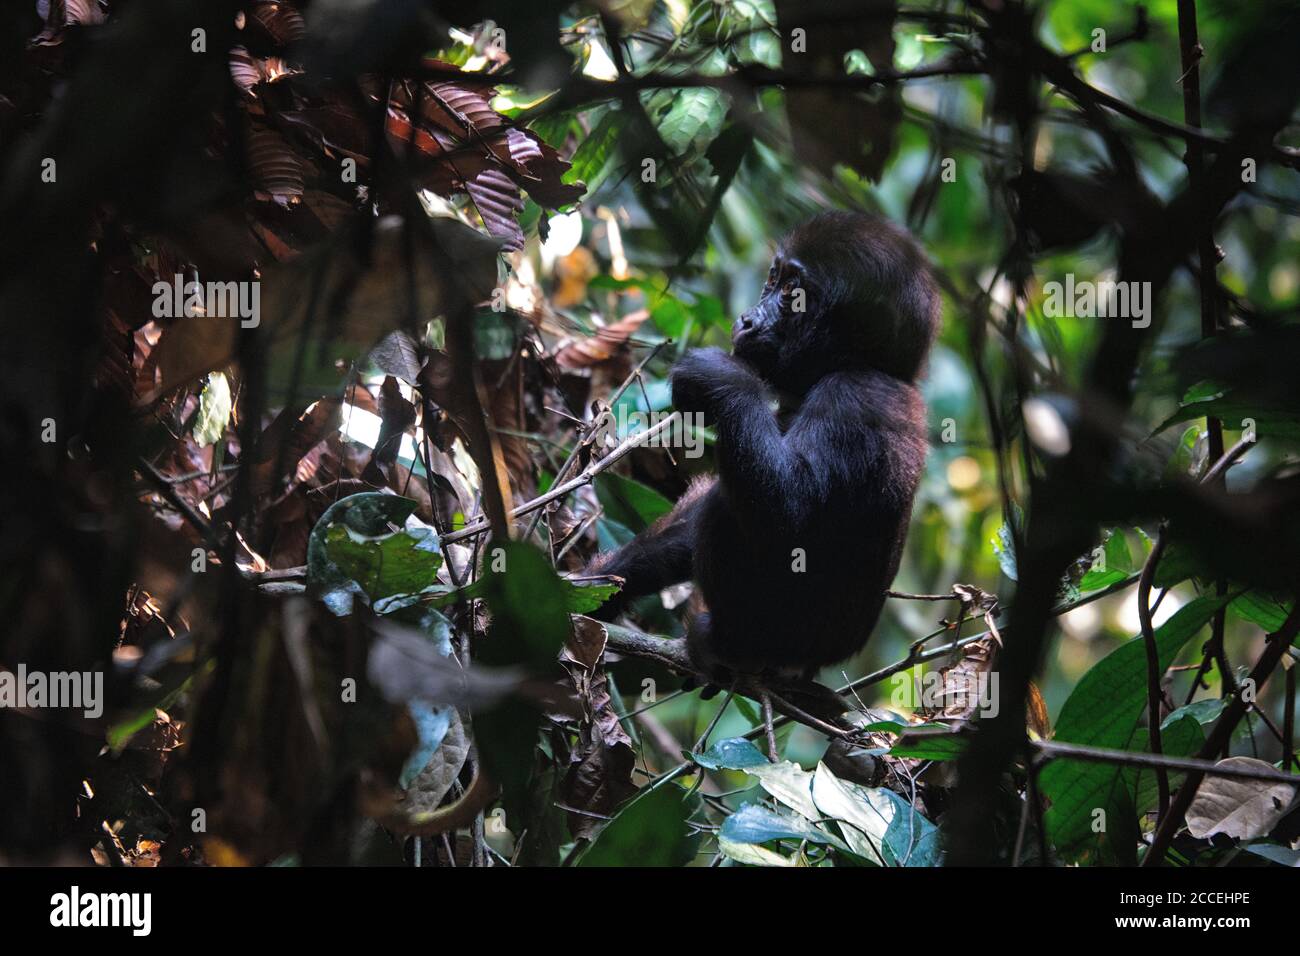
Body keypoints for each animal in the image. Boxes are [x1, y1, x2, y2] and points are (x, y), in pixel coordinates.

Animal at [587, 213, 935, 686]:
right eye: (773, 279)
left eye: (793, 295)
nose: (748, 319)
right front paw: (593, 587)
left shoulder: (856, 395)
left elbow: (788, 513)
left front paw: (720, 378)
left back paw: (724, 646)